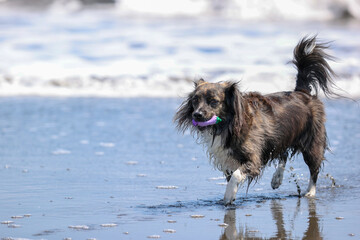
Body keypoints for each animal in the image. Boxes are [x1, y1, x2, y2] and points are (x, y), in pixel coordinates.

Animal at [174, 35, 338, 204]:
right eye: (195, 100)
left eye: (213, 101)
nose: (197, 115)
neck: (228, 124)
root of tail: (302, 92)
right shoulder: (228, 159)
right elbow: (232, 176)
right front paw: (231, 196)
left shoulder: (253, 159)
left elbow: (236, 175)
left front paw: (229, 195)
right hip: (279, 136)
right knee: (283, 154)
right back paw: (276, 179)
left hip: (312, 143)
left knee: (314, 168)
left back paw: (310, 192)